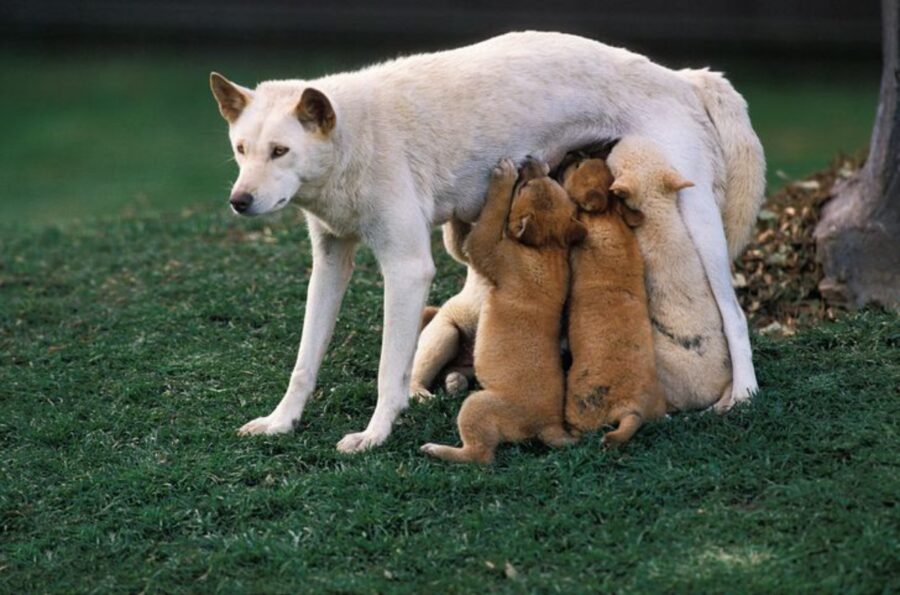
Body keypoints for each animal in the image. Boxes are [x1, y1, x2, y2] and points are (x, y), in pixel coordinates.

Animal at [420, 158, 588, 466]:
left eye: (522, 187)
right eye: (552, 182)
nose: (532, 160)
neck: (547, 244)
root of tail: (549, 424)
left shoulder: (486, 247)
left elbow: (489, 218)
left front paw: (503, 177)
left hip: (476, 406)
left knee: (481, 455)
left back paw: (436, 449)